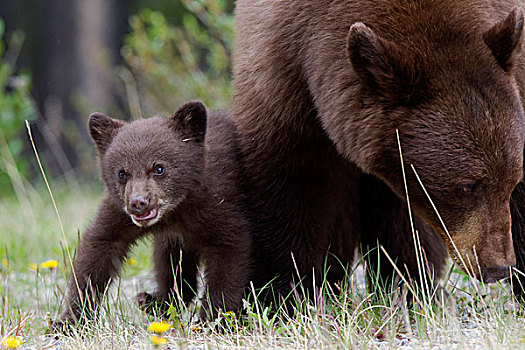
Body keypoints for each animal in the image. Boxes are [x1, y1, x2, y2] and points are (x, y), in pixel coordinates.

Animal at [232, 0, 524, 296]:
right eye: (466, 186)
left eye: (512, 180)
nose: (498, 268)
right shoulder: (285, 76)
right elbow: (290, 188)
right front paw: (286, 291)